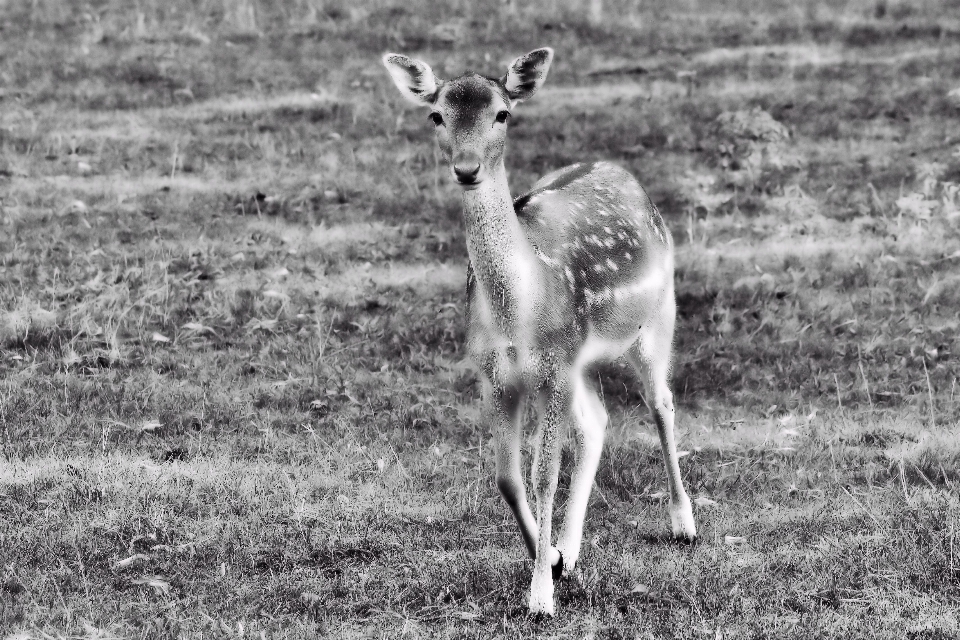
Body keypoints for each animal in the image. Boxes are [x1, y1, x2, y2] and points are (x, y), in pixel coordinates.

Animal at [382, 47, 696, 616]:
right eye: (436, 115)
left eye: (503, 113)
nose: (467, 168)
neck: (520, 315)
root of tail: (619, 169)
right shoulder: (495, 374)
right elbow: (508, 477)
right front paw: (549, 559)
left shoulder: (554, 367)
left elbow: (543, 473)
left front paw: (540, 596)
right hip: (581, 362)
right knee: (597, 421)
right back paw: (569, 551)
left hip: (657, 317)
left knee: (660, 401)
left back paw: (684, 524)